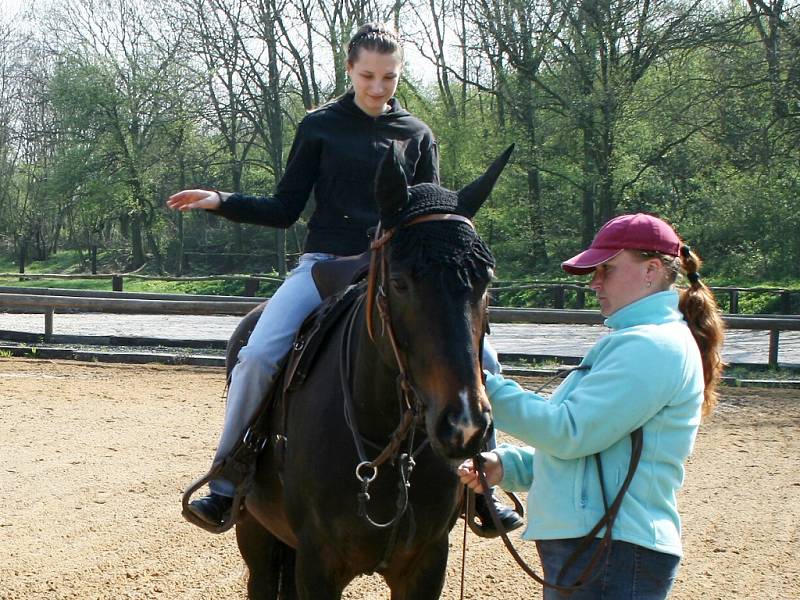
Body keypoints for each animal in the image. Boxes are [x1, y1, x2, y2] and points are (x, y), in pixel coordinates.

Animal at [228, 145, 512, 600]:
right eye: (398, 282)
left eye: (486, 279)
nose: (464, 425)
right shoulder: (318, 563)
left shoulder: (427, 562)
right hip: (255, 534)